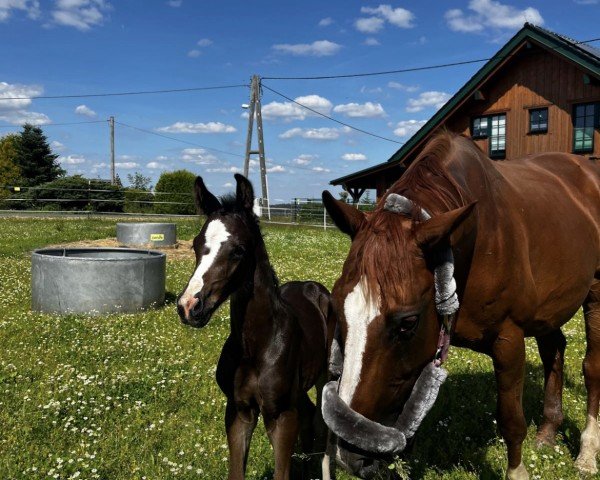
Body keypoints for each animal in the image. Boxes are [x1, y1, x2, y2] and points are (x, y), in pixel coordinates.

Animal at [176, 173, 336, 480]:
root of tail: (313, 287)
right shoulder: (239, 411)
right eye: (195, 244)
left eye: (239, 250)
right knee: (309, 414)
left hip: (327, 375)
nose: (189, 307)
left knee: (323, 424)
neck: (257, 345)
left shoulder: (281, 415)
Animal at [324, 132, 600, 480]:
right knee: (555, 350)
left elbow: (511, 419)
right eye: (337, 309)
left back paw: (587, 452)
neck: (479, 238)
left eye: (408, 322)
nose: (349, 455)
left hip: (595, 294)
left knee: (592, 367)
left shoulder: (509, 340)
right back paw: (548, 432)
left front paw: (517, 472)